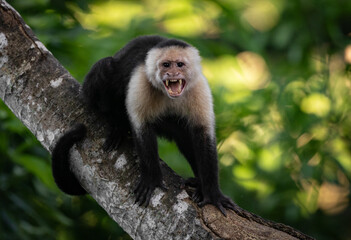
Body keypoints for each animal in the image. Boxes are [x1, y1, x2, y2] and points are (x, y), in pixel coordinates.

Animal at [52, 35, 238, 216]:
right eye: (166, 64)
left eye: (180, 64)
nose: (172, 73)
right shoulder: (141, 81)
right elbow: (142, 128)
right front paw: (152, 180)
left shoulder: (199, 88)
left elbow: (203, 134)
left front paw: (212, 194)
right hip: (89, 93)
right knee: (105, 66)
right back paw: (118, 124)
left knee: (183, 133)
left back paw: (198, 182)